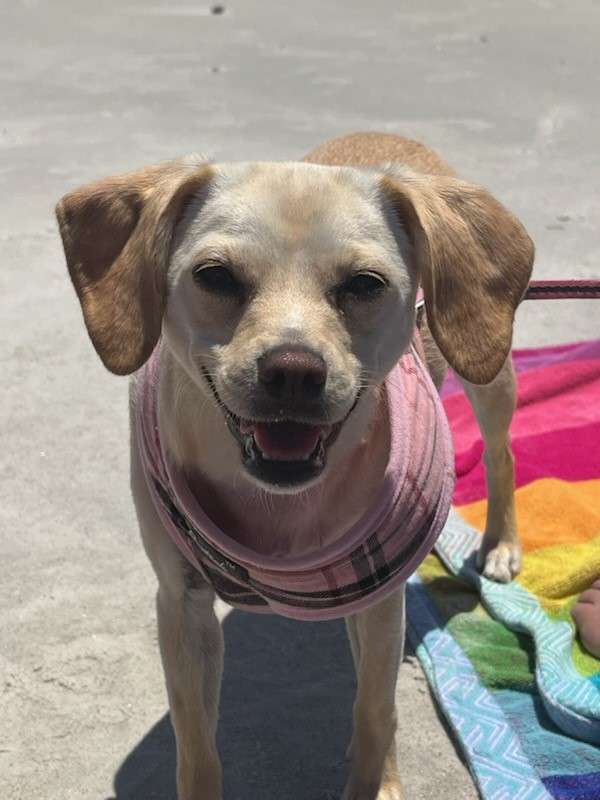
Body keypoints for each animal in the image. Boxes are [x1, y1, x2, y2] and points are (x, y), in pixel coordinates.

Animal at [56, 134, 536, 796]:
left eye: (364, 284)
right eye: (214, 276)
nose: (292, 371)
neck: (280, 504)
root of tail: (398, 140)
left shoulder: (380, 603)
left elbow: (376, 709)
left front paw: (376, 782)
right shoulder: (181, 605)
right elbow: (195, 745)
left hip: (488, 372)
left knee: (500, 451)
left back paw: (501, 542)